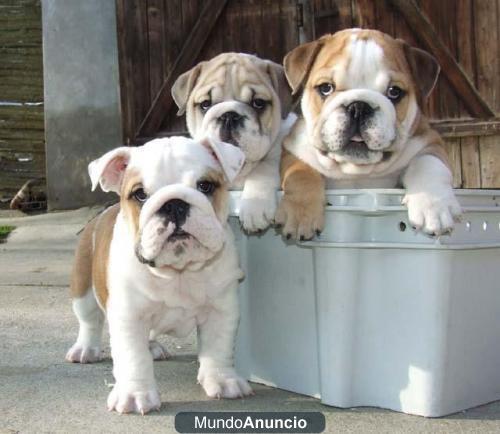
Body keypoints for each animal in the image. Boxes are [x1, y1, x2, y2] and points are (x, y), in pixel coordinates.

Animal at [65, 137, 254, 416]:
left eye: (205, 186)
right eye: (140, 194)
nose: (174, 204)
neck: (178, 272)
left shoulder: (222, 310)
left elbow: (219, 346)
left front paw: (222, 379)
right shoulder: (129, 317)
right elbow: (133, 357)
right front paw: (135, 394)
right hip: (83, 289)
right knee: (89, 321)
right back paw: (85, 349)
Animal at [173, 52, 296, 234]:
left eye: (258, 103)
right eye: (205, 104)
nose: (228, 116)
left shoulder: (278, 154)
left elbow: (263, 168)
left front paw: (255, 207)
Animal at [278, 29, 460, 241]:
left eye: (395, 92)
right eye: (325, 88)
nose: (358, 107)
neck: (357, 170)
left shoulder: (429, 141)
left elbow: (428, 164)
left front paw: (434, 206)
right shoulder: (295, 149)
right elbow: (300, 174)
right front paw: (301, 215)